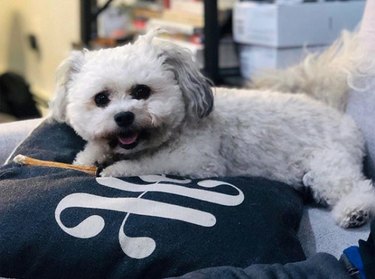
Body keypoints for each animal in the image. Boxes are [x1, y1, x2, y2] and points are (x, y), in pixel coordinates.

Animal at [50, 30, 375, 229]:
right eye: (101, 99)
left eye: (141, 91)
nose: (124, 117)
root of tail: (341, 117)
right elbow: (92, 150)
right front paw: (89, 156)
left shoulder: (195, 159)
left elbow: (145, 163)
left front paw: (116, 169)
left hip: (327, 166)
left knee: (357, 187)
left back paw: (355, 211)